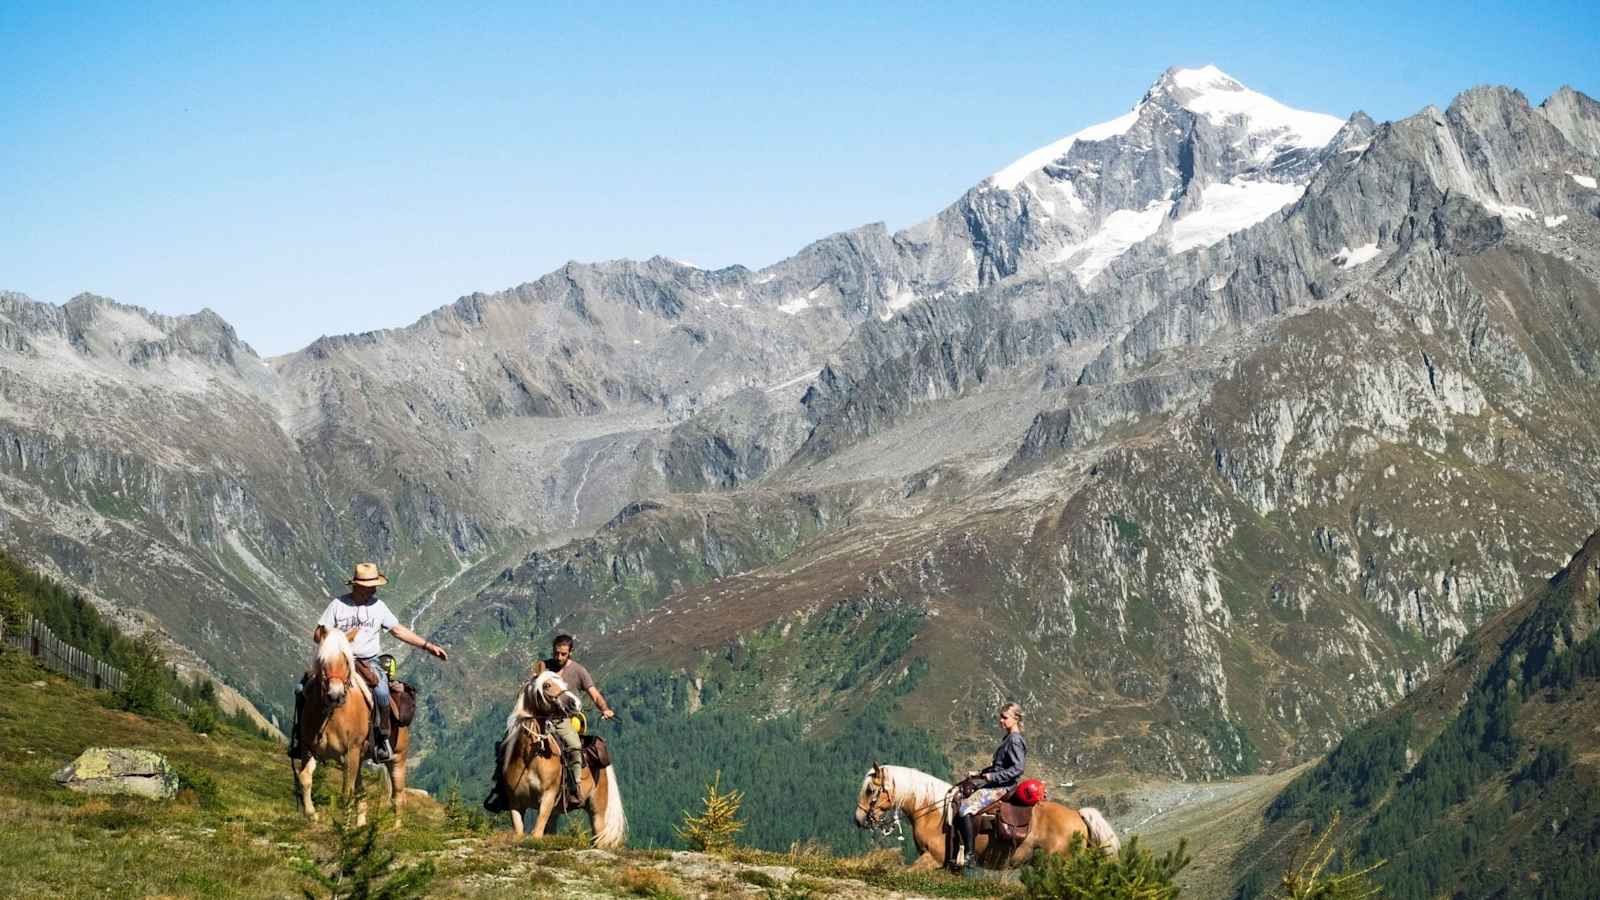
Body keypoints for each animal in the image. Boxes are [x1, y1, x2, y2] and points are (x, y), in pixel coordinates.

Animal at [292, 627, 412, 826]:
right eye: (322, 661)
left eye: (347, 662)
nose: (335, 695)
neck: (331, 715)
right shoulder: (308, 748)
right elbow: (305, 778)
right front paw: (311, 814)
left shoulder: (350, 752)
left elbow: (346, 793)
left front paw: (344, 827)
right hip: (359, 757)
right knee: (361, 792)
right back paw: (361, 824)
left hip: (397, 758)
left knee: (398, 796)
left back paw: (396, 828)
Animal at [499, 666, 624, 845]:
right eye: (547, 685)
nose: (575, 703)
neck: (529, 759)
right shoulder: (515, 802)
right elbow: (519, 831)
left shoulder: (548, 796)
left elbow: (537, 832)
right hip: (556, 811)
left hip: (597, 810)